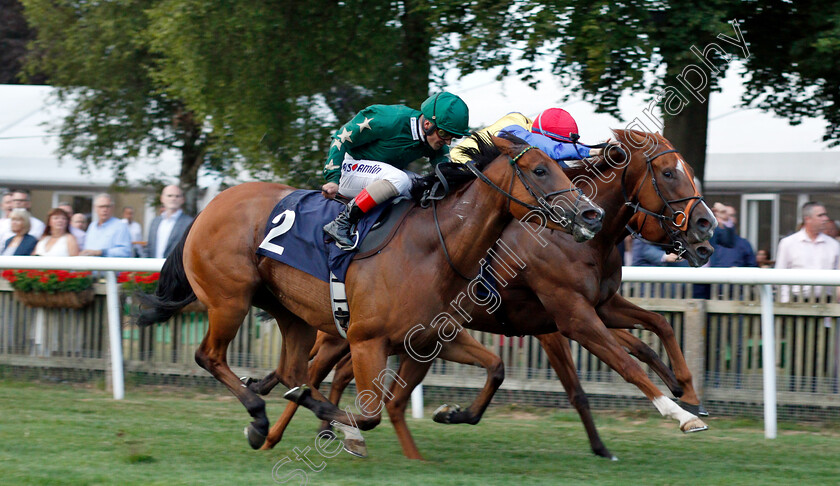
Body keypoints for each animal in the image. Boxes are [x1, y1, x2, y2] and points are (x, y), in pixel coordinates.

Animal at [141, 133, 608, 448]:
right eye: (540, 170)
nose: (592, 213)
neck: (433, 246)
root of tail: (207, 208)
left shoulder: (432, 336)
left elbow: (495, 367)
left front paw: (452, 413)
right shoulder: (367, 341)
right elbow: (369, 416)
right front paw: (343, 428)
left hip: (292, 313)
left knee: (294, 372)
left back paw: (278, 402)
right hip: (229, 300)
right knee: (210, 356)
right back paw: (259, 419)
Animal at [254, 130, 716, 460]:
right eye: (670, 172)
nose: (706, 228)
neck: (576, 240)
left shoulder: (599, 304)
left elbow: (655, 327)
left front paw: (688, 393)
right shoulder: (567, 316)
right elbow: (616, 366)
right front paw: (677, 414)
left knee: (332, 373)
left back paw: (331, 430)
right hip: (343, 327)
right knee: (315, 370)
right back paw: (280, 432)